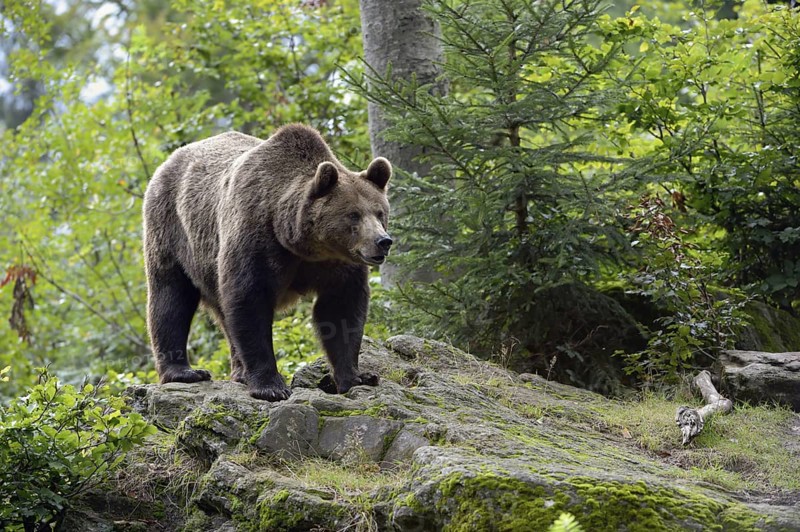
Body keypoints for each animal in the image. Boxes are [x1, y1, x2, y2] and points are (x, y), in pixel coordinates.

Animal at [142, 124, 392, 401]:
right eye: (353, 215)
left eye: (380, 212)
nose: (383, 241)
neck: (303, 244)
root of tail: (170, 160)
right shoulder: (257, 240)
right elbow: (250, 301)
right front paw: (271, 386)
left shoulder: (339, 264)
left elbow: (341, 311)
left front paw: (358, 377)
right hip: (173, 231)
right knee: (171, 298)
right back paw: (184, 372)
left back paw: (239, 372)